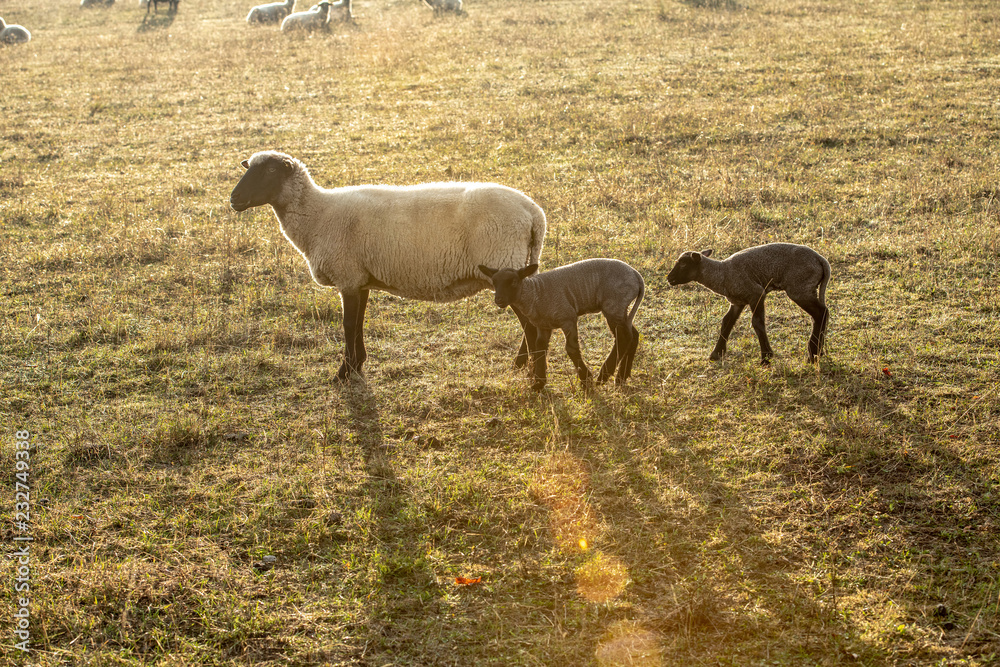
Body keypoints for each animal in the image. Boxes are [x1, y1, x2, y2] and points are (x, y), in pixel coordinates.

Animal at [229, 150, 547, 381]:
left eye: (270, 171)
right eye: (248, 167)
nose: (234, 198)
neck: (317, 215)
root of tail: (534, 213)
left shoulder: (347, 275)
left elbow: (347, 324)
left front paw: (343, 373)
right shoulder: (359, 279)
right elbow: (358, 322)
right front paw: (357, 364)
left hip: (504, 266)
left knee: (529, 322)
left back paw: (527, 367)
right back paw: (523, 363)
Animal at [478, 259, 644, 391]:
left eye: (513, 282)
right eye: (494, 282)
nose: (499, 300)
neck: (534, 294)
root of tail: (636, 275)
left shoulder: (567, 318)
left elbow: (571, 349)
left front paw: (586, 380)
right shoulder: (543, 326)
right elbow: (540, 348)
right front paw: (538, 384)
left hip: (614, 304)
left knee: (623, 337)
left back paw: (603, 376)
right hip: (620, 309)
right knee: (632, 335)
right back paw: (621, 377)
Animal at [666, 242, 831, 363]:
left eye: (683, 264)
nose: (669, 278)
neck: (722, 273)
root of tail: (821, 260)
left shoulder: (756, 294)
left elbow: (757, 323)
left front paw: (766, 357)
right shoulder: (737, 302)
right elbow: (726, 323)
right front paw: (716, 354)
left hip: (799, 288)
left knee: (821, 313)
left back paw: (812, 354)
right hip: (807, 288)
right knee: (820, 315)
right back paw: (818, 352)